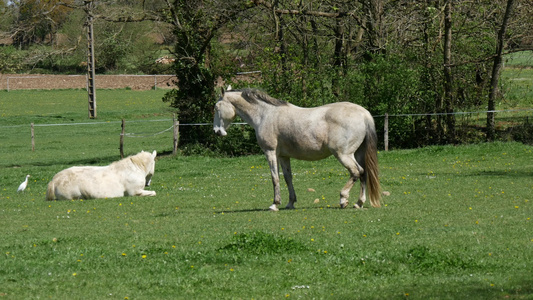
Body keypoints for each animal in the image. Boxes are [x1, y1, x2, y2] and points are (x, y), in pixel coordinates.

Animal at [212, 88, 378, 212]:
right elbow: (287, 178)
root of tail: (364, 114)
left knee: (356, 172)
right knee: (364, 173)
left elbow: (275, 178)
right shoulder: (283, 156)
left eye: (216, 107)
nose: (217, 132)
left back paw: (343, 199)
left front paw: (274, 204)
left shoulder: (270, 152)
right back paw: (359, 203)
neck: (265, 114)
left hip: (344, 155)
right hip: (358, 153)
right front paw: (290, 203)